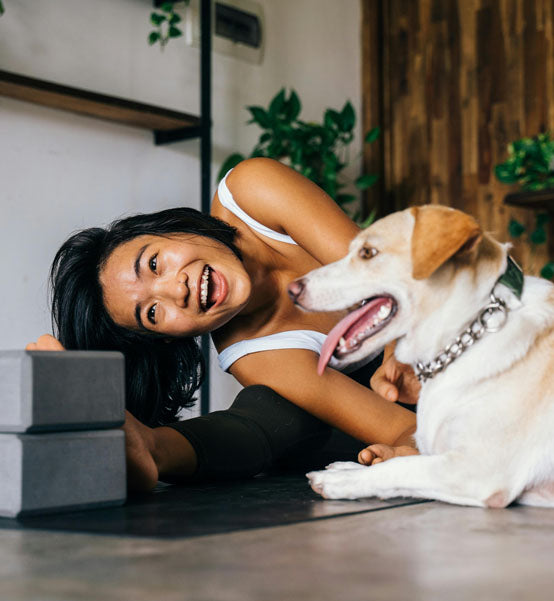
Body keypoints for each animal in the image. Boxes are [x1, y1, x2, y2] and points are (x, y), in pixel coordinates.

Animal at [289, 205, 554, 508]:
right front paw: (349, 467)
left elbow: (397, 467)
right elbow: (403, 459)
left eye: (368, 252)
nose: (291, 290)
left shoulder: (477, 471)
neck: (466, 334)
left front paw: (341, 480)